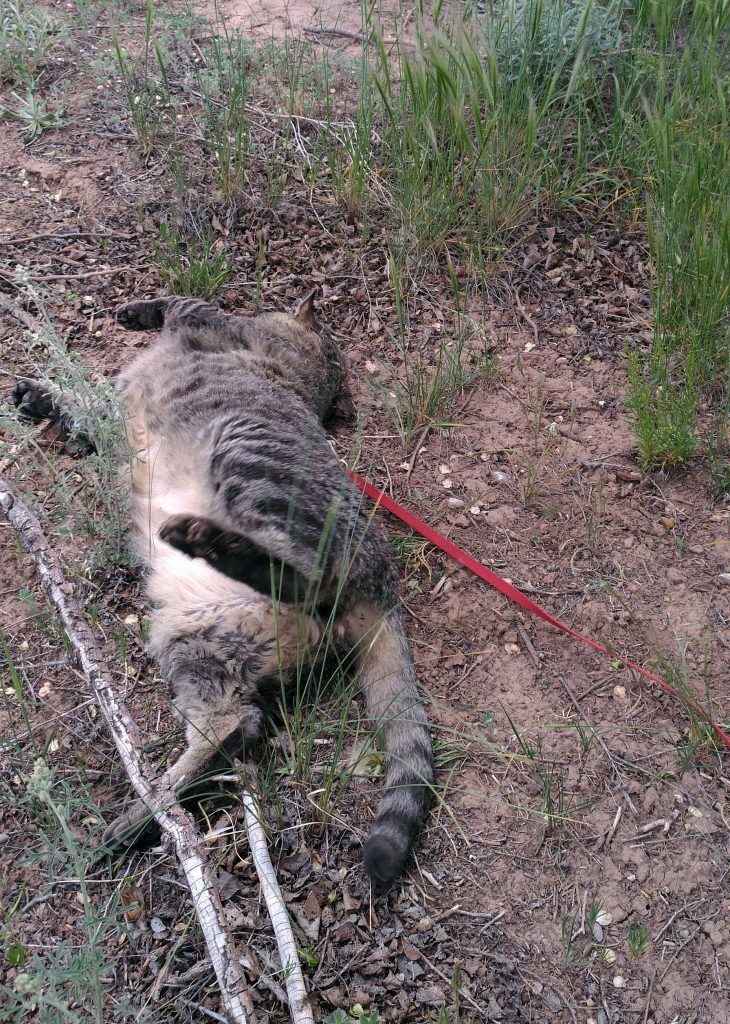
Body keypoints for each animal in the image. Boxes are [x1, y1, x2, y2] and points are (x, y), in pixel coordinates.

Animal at [14, 292, 432, 884]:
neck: (305, 377)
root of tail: (382, 580)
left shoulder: (220, 326)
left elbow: (189, 304)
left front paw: (143, 310)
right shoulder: (115, 411)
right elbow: (88, 405)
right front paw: (47, 395)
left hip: (246, 457)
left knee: (307, 575)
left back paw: (218, 544)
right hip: (199, 637)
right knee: (234, 723)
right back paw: (151, 808)